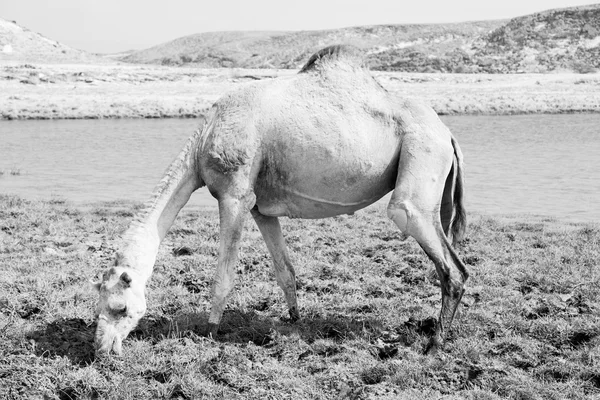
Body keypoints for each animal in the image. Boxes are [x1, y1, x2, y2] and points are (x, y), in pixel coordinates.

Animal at [92, 44, 468, 356]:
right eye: (98, 305)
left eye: (119, 307)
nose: (102, 350)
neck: (202, 141)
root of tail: (448, 134)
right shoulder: (261, 208)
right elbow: (284, 269)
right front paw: (294, 319)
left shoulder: (234, 194)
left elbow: (224, 275)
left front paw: (209, 331)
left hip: (421, 158)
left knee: (446, 259)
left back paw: (434, 344)